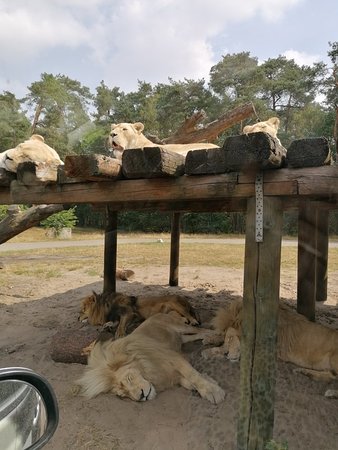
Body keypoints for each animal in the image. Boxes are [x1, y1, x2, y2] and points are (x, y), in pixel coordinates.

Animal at [75, 312, 226, 404]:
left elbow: (193, 375)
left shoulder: (174, 358)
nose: (141, 396)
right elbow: (187, 381)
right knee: (196, 335)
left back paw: (216, 335)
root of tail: (161, 313)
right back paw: (208, 338)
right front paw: (206, 383)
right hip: (182, 337)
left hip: (180, 326)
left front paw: (213, 391)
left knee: (201, 329)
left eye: (129, 379)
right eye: (123, 394)